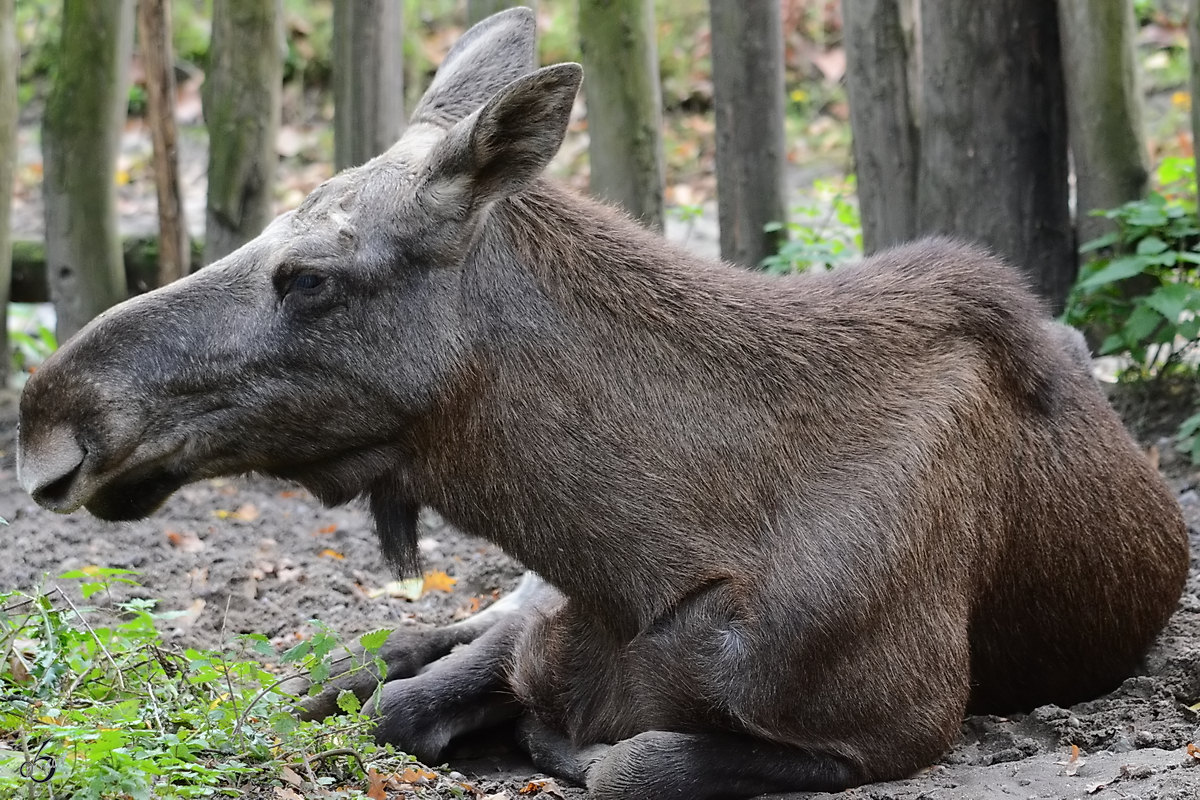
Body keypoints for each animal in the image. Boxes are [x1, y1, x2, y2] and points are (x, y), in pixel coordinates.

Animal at [14, 9, 1185, 796]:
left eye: (308, 276)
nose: (45, 418)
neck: (639, 561)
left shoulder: (895, 728)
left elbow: (626, 761)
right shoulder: (536, 626)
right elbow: (386, 701)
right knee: (384, 647)